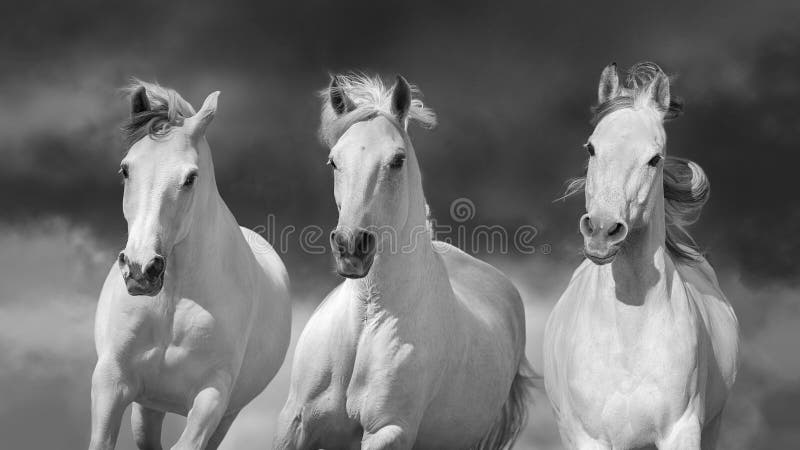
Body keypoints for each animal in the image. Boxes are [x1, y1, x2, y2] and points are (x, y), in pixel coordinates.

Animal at [90, 81, 290, 450]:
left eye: (190, 178)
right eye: (126, 169)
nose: (140, 270)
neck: (173, 299)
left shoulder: (212, 397)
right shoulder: (111, 381)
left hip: (224, 416)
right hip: (149, 405)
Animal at [276, 75, 532, 448]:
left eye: (397, 160)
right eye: (334, 161)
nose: (352, 246)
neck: (367, 322)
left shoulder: (389, 430)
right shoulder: (294, 421)